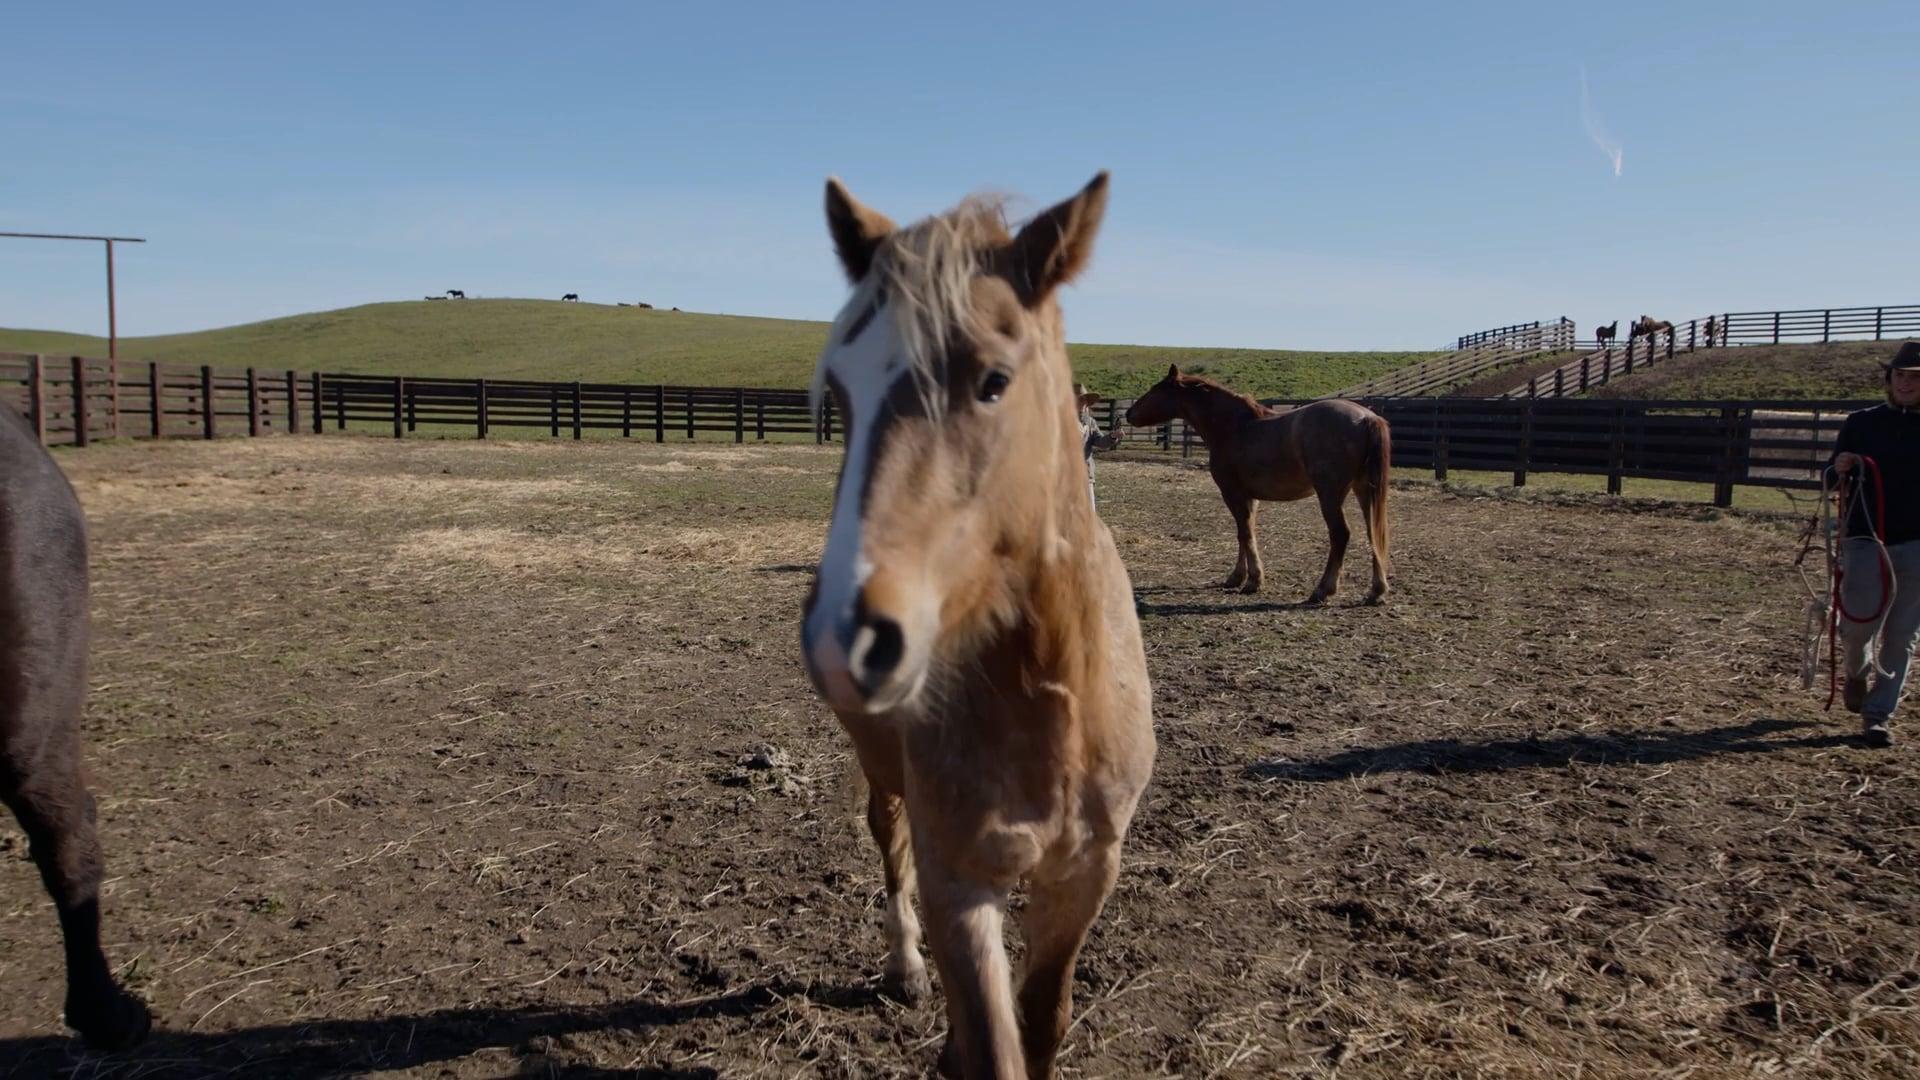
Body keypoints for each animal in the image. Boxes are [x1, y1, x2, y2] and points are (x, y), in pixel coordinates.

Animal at [800, 172, 1154, 1079]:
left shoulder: (1084, 875)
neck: (1052, 695)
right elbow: (992, 1049)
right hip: (882, 768)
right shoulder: (959, 882)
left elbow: (1042, 1024)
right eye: (840, 393)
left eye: (993, 380)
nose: (844, 637)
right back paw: (904, 967)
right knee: (886, 841)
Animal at [1126, 369, 1391, 605]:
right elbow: (1245, 532)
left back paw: (1323, 590)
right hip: (1364, 490)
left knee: (1340, 534)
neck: (1233, 427)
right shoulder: (1248, 497)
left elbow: (1244, 532)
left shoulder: (1231, 492)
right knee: (1374, 532)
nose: (1128, 413)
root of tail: (1367, 417)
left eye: (1155, 389)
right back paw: (1376, 590)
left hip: (1330, 495)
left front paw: (1253, 581)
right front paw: (1237, 577)